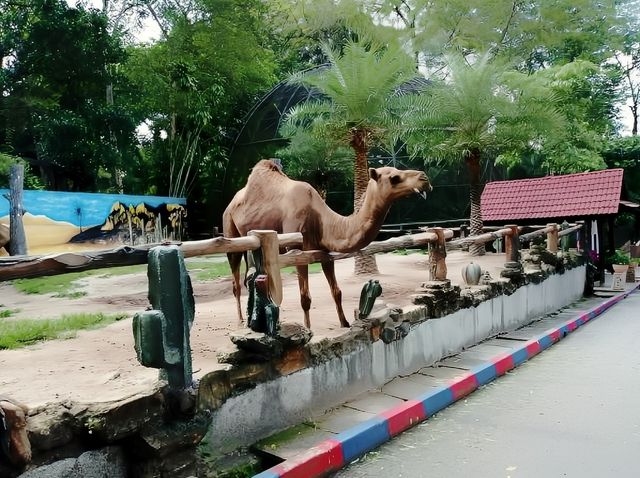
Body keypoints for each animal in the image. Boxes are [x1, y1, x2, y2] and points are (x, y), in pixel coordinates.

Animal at [222, 161, 432, 328]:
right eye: (395, 177)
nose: (424, 178)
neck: (319, 219)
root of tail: (231, 203)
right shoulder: (297, 252)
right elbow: (305, 297)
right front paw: (308, 329)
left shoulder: (325, 253)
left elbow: (337, 291)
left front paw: (345, 323)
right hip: (230, 230)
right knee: (235, 281)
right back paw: (240, 320)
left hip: (251, 246)